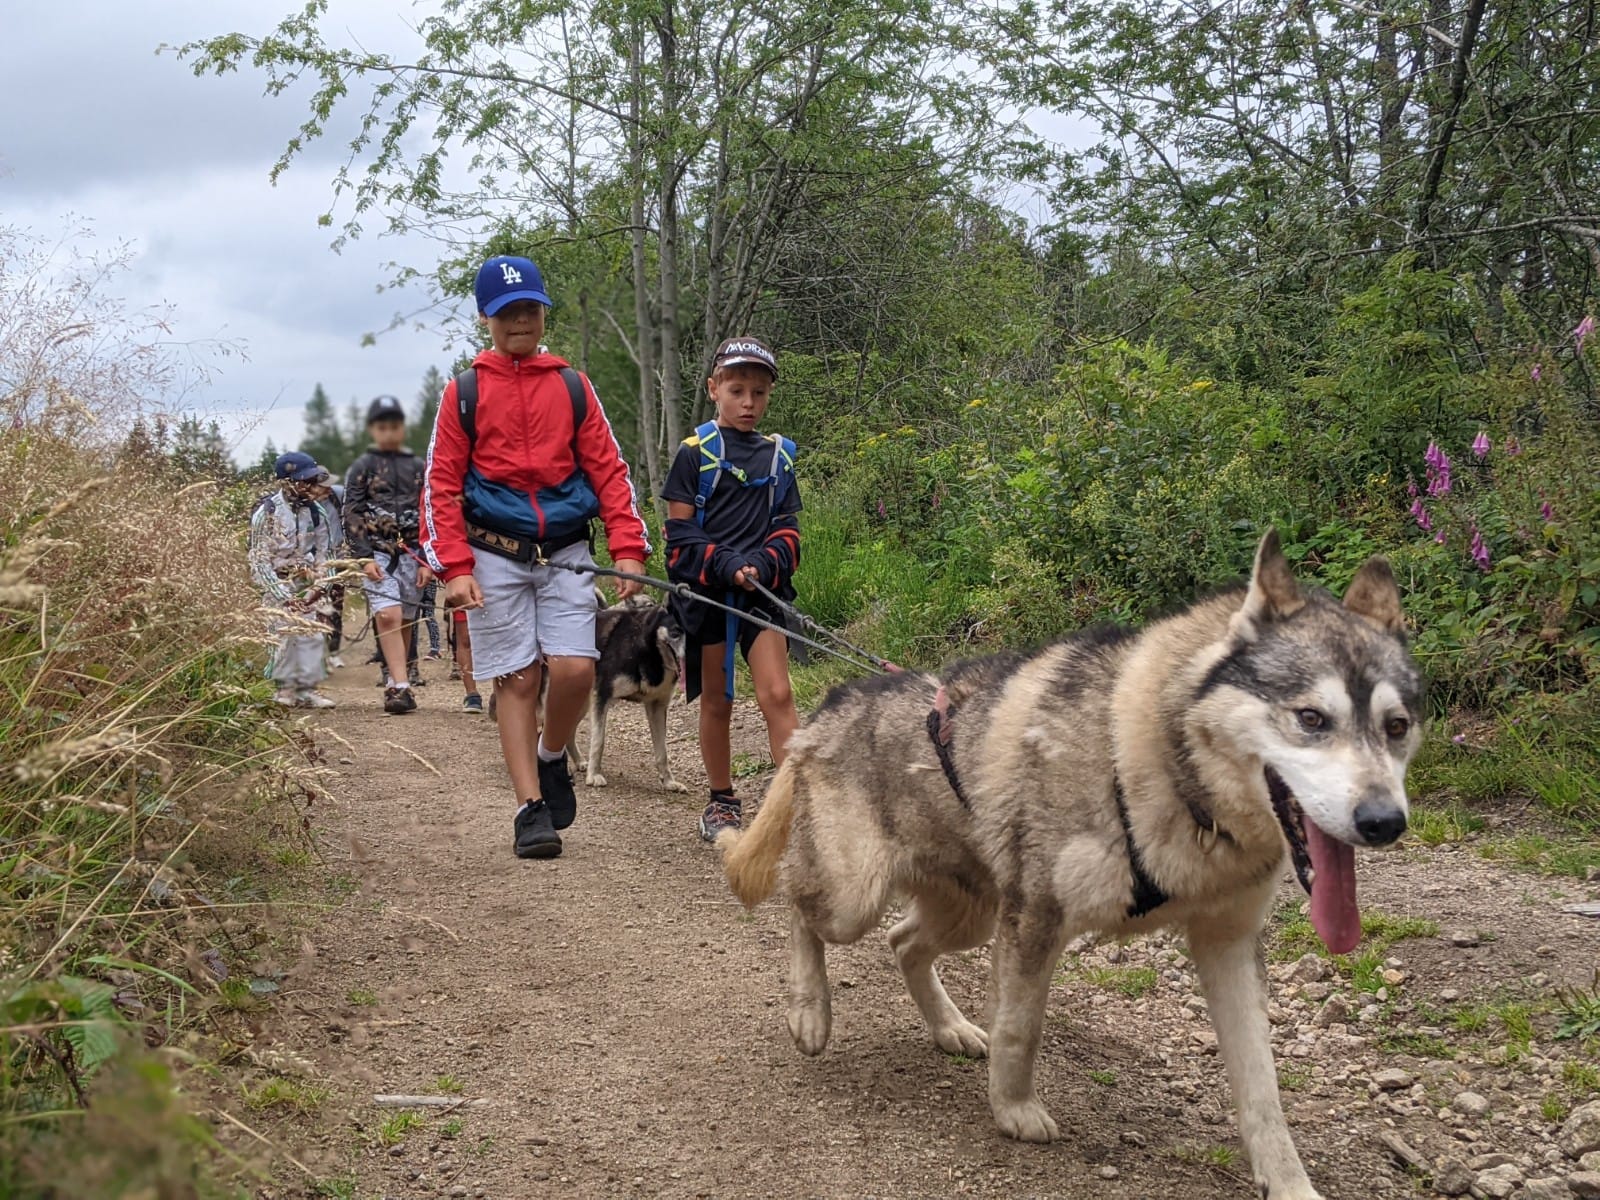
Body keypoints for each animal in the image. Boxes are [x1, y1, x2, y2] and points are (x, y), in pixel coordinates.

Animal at [720, 534, 1420, 1200]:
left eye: (1397, 726)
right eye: (1311, 718)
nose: (1384, 822)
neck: (1162, 772)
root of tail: (830, 705)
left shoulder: (1228, 945)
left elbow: (1264, 1095)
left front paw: (1290, 1183)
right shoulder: (1038, 918)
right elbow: (1020, 1029)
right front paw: (1014, 1110)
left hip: (969, 916)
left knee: (903, 942)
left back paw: (949, 1028)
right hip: (855, 896)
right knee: (797, 907)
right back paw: (810, 1012)